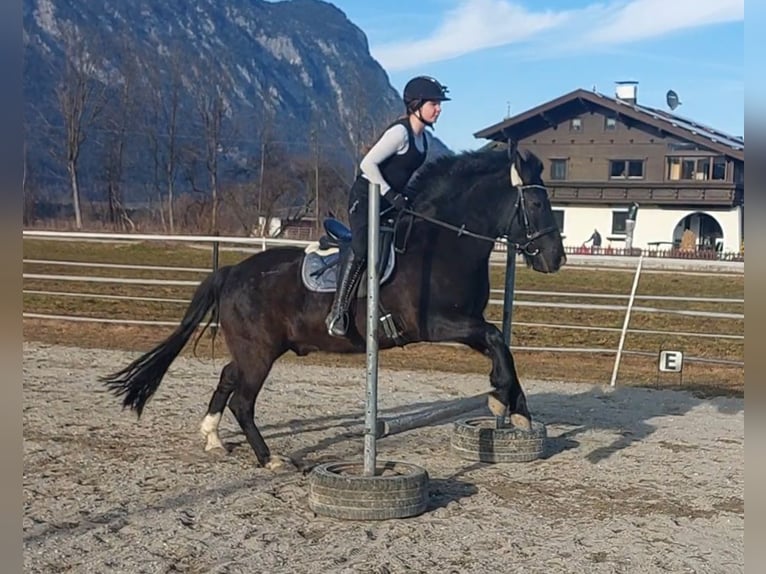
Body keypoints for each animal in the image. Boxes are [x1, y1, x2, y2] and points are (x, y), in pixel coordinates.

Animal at [102, 148, 568, 472]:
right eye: (538, 205)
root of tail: (232, 271)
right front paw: (503, 402)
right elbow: (495, 338)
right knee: (243, 400)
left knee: (227, 377)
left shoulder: (463, 324)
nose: (556, 259)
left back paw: (213, 437)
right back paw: (269, 458)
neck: (442, 242)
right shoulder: (437, 324)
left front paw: (515, 409)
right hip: (259, 352)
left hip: (256, 348)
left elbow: (501, 345)